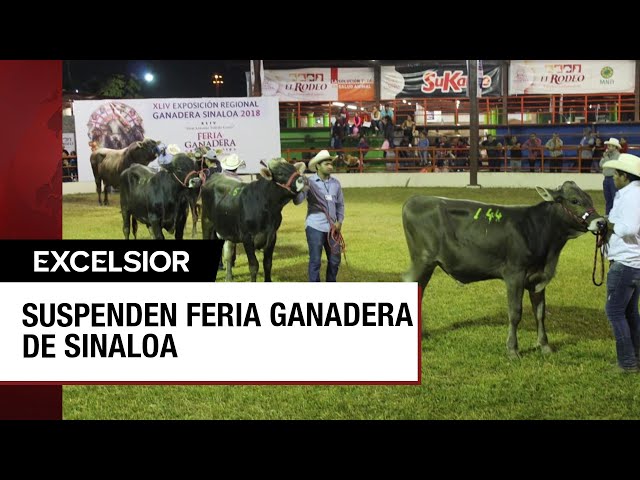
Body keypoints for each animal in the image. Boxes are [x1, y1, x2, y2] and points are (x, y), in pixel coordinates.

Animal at [402, 182, 608, 358]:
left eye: (589, 198)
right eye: (574, 200)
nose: (601, 222)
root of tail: (415, 199)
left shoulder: (537, 278)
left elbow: (540, 313)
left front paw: (544, 346)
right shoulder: (514, 275)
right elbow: (515, 313)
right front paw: (512, 350)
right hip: (423, 261)